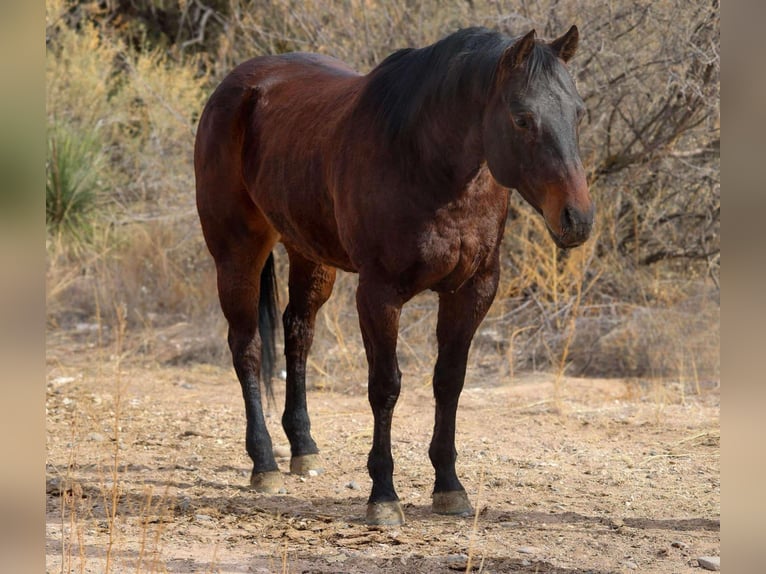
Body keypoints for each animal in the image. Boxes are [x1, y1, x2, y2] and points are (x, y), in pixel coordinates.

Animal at [196, 24, 592, 528]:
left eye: (577, 113)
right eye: (523, 118)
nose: (577, 219)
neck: (425, 159)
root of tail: (238, 86)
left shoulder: (472, 290)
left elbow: (449, 381)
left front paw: (449, 487)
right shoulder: (379, 294)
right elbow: (385, 387)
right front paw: (383, 495)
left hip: (310, 254)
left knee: (297, 334)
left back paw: (303, 447)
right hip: (237, 252)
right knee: (246, 348)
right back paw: (264, 463)